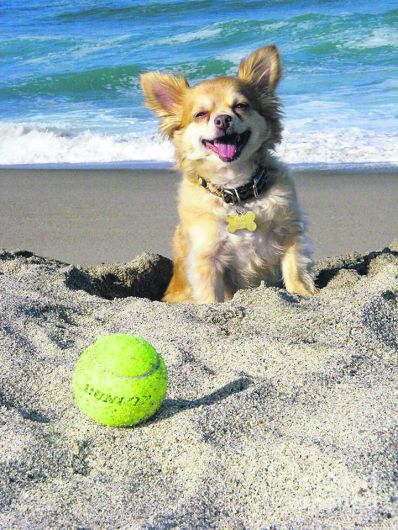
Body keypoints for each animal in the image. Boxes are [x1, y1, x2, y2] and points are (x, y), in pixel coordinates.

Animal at [141, 45, 316, 304]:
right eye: (200, 114)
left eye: (241, 106)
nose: (223, 119)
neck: (236, 189)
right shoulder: (207, 259)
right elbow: (211, 298)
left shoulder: (290, 235)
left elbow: (296, 272)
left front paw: (303, 294)